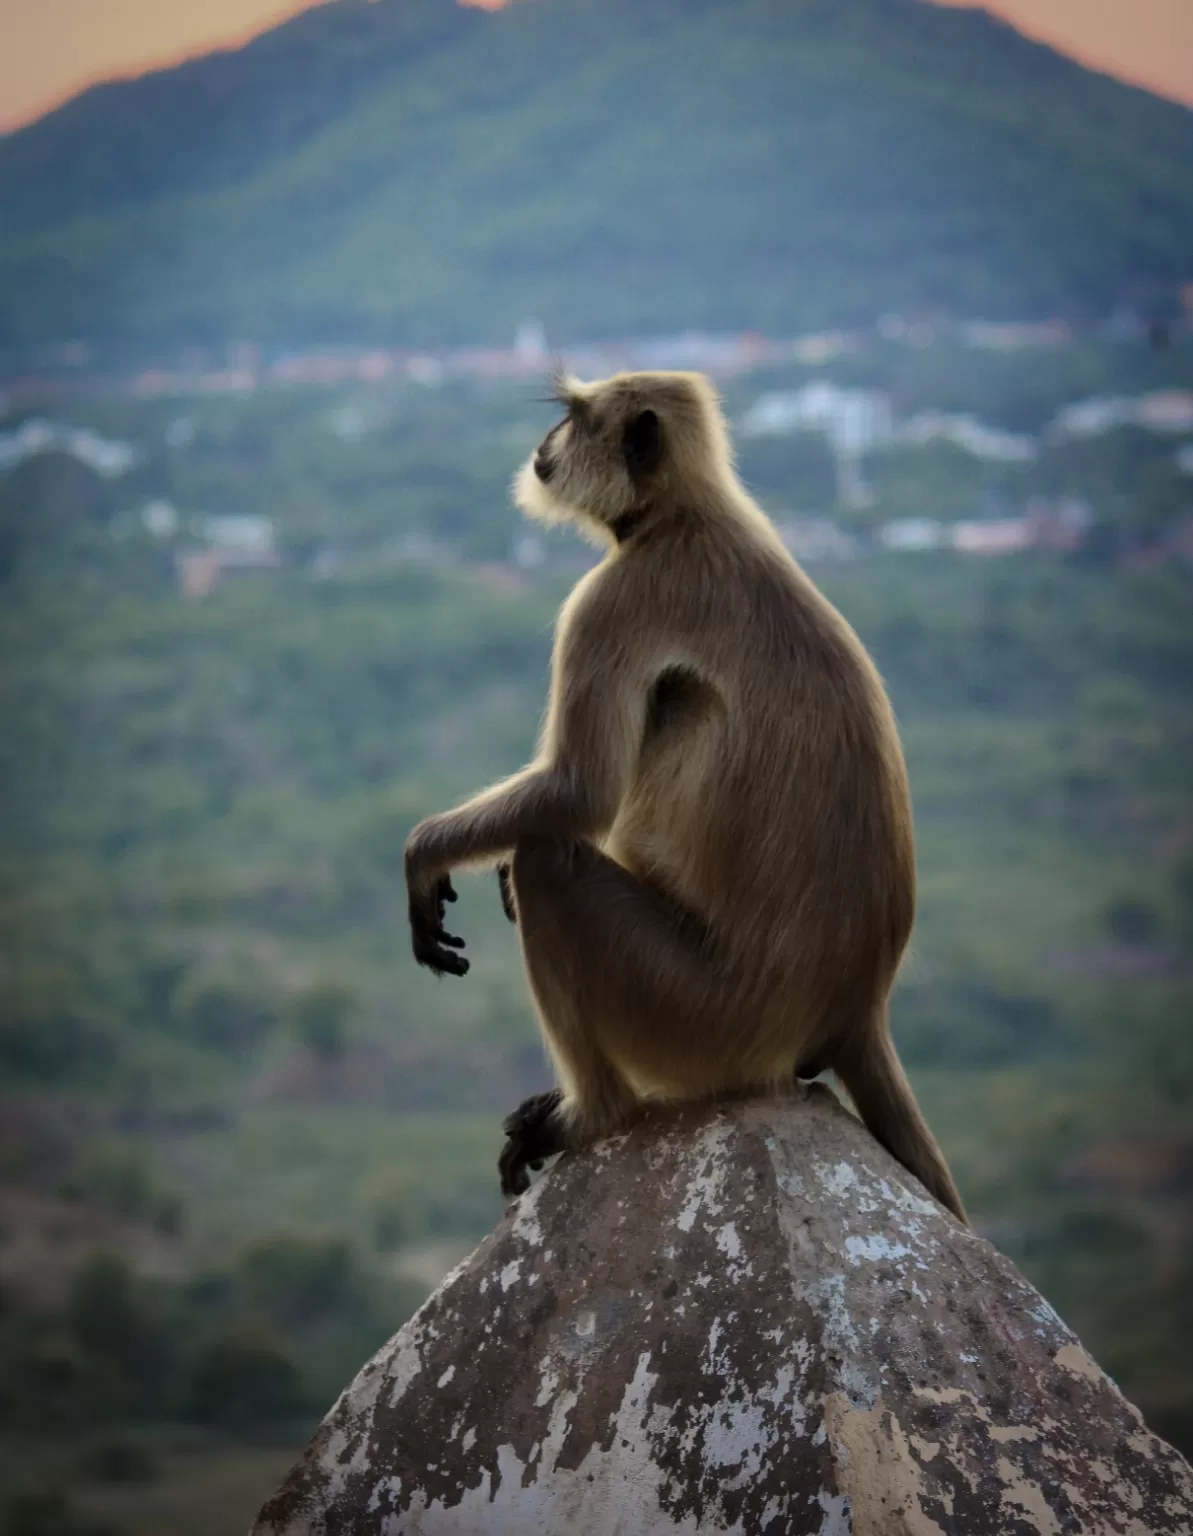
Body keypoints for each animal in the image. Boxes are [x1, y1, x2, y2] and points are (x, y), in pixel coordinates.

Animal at [405, 365, 964, 1216]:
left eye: (573, 419)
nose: (542, 447)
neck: (684, 515)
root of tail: (856, 1004)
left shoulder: (614, 598)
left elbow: (578, 795)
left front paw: (422, 856)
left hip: (698, 1018)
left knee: (549, 860)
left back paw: (591, 1116)